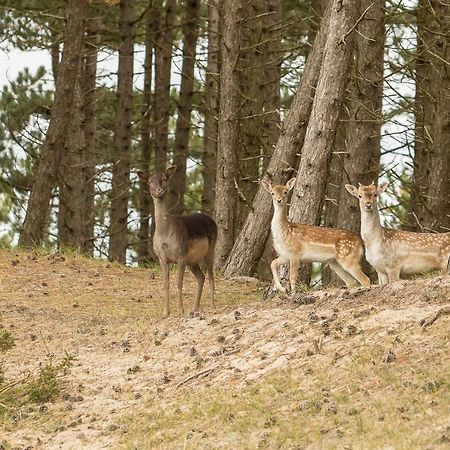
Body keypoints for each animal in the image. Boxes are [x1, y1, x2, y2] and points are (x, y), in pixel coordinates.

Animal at [137, 167, 218, 318]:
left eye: (165, 178)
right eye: (150, 181)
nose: (159, 191)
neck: (164, 233)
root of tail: (213, 221)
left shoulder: (181, 254)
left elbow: (179, 282)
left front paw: (180, 311)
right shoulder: (162, 257)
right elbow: (166, 283)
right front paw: (165, 312)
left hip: (210, 249)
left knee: (211, 276)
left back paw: (212, 306)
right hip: (192, 260)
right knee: (201, 277)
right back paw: (195, 308)